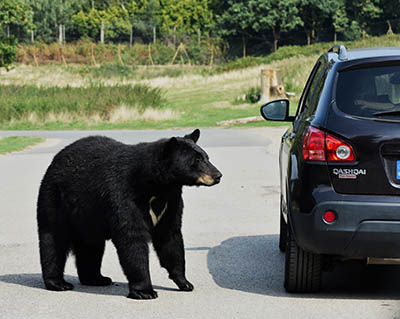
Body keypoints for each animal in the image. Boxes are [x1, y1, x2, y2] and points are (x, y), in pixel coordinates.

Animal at [36, 129, 222, 300]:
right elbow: (132, 238)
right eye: (196, 160)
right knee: (53, 239)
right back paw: (58, 283)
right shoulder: (124, 195)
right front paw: (145, 291)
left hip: (88, 216)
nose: (218, 175)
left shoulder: (171, 202)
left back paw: (96, 279)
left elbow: (170, 237)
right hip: (54, 199)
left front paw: (184, 282)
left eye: (206, 157)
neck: (156, 187)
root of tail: (56, 159)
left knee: (91, 246)